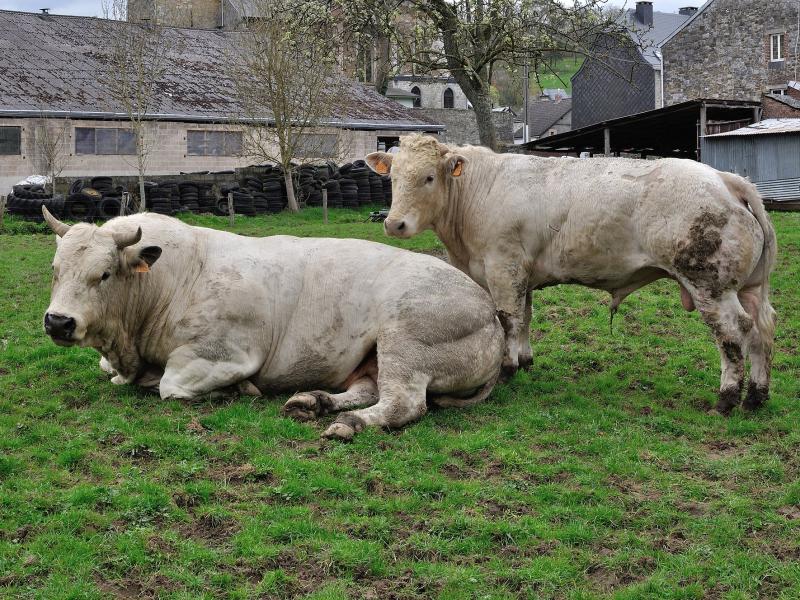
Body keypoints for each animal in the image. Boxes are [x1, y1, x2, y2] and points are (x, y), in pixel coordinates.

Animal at [40, 207, 504, 440]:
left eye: (103, 274)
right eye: (55, 270)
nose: (59, 322)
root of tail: (492, 314)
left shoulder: (223, 354)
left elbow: (169, 387)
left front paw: (236, 390)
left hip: (404, 340)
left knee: (403, 403)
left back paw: (347, 423)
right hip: (371, 357)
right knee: (368, 390)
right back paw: (314, 401)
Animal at [366, 135, 777, 415]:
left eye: (429, 177)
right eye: (393, 177)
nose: (394, 223)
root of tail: (726, 179)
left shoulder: (503, 267)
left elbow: (509, 319)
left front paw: (507, 368)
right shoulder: (522, 272)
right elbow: (526, 317)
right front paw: (525, 360)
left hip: (711, 285)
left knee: (733, 334)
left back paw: (727, 399)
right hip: (749, 288)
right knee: (762, 331)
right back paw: (756, 397)